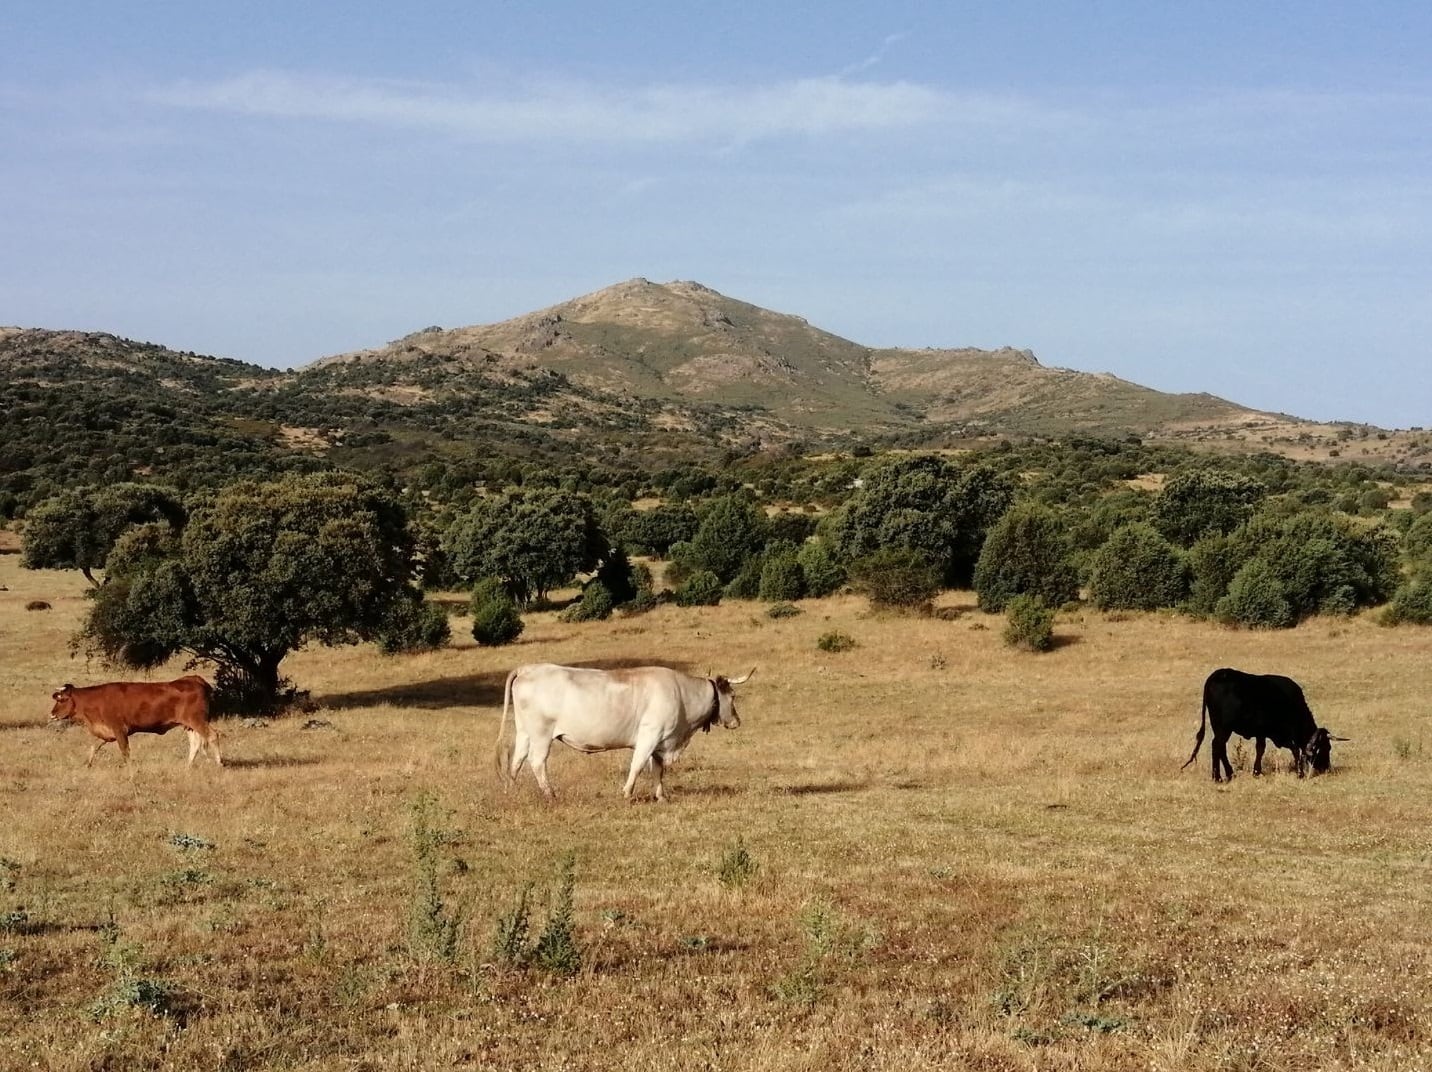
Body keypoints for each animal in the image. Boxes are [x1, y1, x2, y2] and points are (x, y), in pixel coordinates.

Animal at [50, 672, 221, 767]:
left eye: (61, 699)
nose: (52, 714)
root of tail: (195, 679)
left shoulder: (120, 730)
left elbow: (125, 752)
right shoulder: (104, 731)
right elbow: (93, 748)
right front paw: (87, 764)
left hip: (197, 721)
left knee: (212, 736)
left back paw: (219, 762)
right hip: (189, 724)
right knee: (196, 744)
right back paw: (188, 766)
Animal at [498, 661, 756, 801]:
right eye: (733, 696)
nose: (737, 721)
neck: (682, 694)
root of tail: (528, 668)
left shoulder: (661, 742)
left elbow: (658, 770)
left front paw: (661, 796)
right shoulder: (650, 736)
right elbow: (638, 765)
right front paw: (627, 792)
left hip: (525, 732)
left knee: (516, 760)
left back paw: (510, 790)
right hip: (541, 734)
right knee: (536, 762)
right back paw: (550, 794)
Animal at [1179, 664, 1346, 784]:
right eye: (1326, 748)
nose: (1326, 768)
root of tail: (1220, 673)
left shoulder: (1263, 733)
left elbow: (1260, 749)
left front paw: (1257, 772)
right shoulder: (1281, 733)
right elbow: (1295, 749)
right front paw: (1300, 773)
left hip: (1219, 726)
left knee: (1221, 748)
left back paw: (1229, 774)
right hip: (1224, 728)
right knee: (1217, 746)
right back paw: (1218, 777)